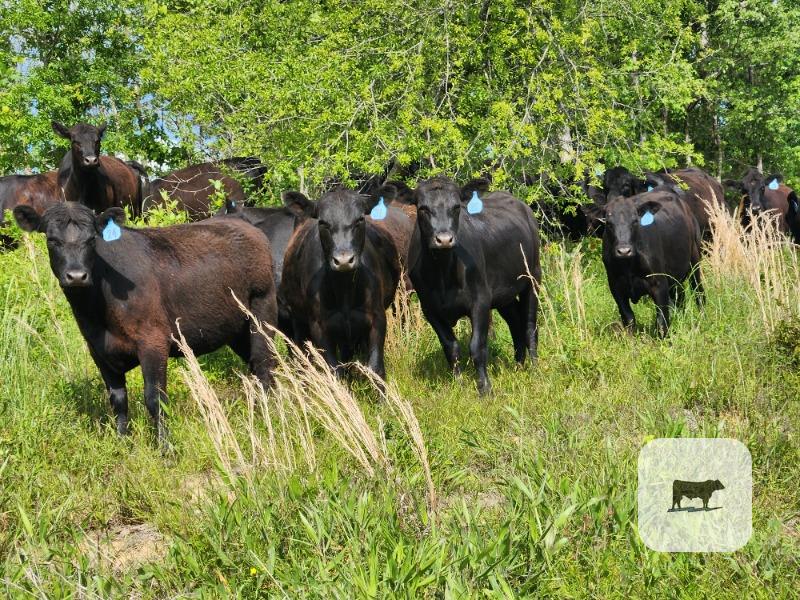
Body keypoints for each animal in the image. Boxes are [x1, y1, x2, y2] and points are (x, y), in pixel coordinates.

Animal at [13, 202, 277, 446]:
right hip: (237, 330)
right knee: (256, 366)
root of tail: (242, 222)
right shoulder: (98, 350)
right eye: (52, 240)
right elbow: (118, 400)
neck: (98, 313)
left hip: (261, 312)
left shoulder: (153, 340)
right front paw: (122, 443)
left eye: (91, 240)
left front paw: (165, 448)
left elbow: (155, 398)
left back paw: (267, 415)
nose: (76, 276)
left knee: (264, 364)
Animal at [279, 187, 401, 380]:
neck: (345, 290)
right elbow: (334, 370)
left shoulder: (377, 318)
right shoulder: (319, 325)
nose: (343, 260)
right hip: (297, 318)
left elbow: (375, 368)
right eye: (323, 222)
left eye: (359, 219)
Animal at [408, 177, 540, 395]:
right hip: (504, 294)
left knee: (530, 326)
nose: (444, 239)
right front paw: (459, 385)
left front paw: (485, 388)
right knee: (515, 322)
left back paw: (535, 368)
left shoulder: (480, 301)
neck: (443, 273)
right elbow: (451, 348)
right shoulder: (430, 309)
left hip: (533, 278)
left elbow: (477, 347)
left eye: (456, 207)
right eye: (423, 209)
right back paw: (518, 365)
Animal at [591, 186, 703, 337]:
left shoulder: (659, 284)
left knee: (698, 291)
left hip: (694, 260)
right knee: (680, 297)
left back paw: (703, 317)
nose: (624, 251)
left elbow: (662, 321)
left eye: (635, 220)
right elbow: (628, 318)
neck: (628, 265)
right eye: (609, 223)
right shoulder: (616, 287)